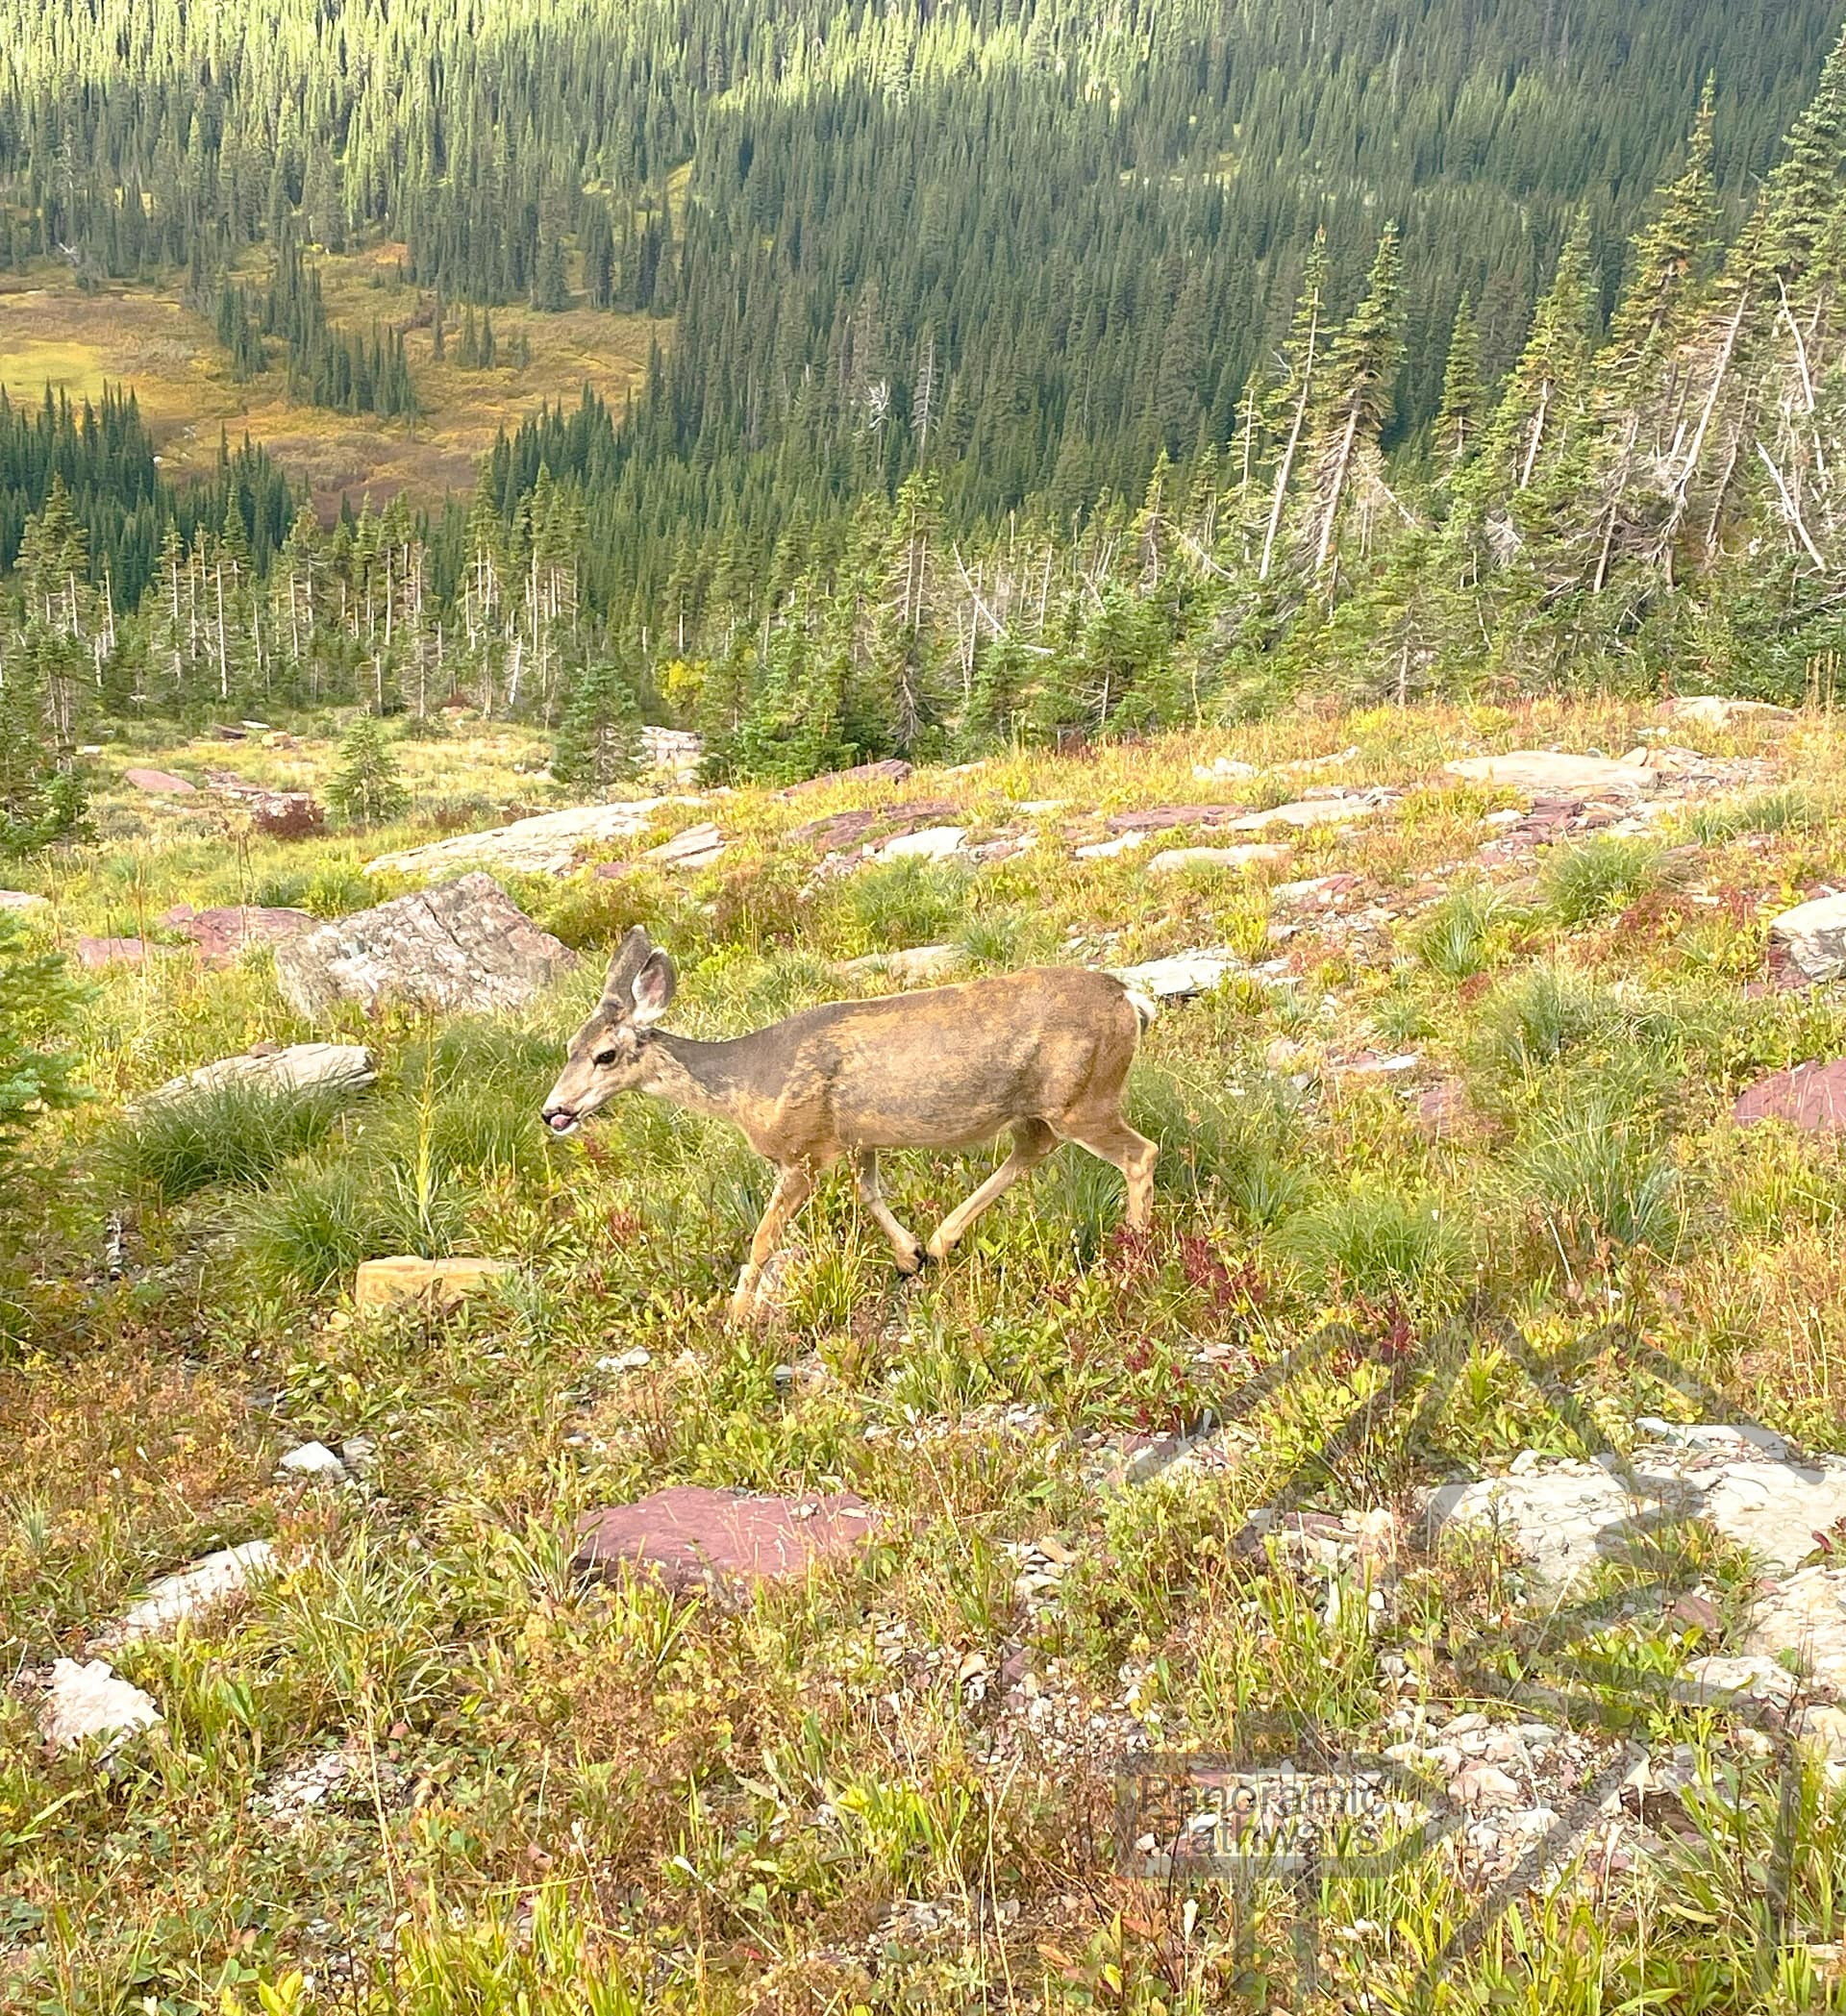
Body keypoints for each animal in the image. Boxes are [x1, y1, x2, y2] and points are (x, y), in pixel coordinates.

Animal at [542, 927, 1160, 1324]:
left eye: (604, 1055)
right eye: (568, 1045)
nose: (554, 1112)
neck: (748, 1084)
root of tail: (1132, 999)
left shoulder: (802, 1151)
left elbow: (763, 1239)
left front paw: (734, 1318)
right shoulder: (857, 1137)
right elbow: (869, 1190)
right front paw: (909, 1255)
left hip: (1085, 1097)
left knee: (1140, 1153)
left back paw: (1135, 1253)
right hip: (1042, 1106)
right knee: (1033, 1150)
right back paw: (942, 1241)